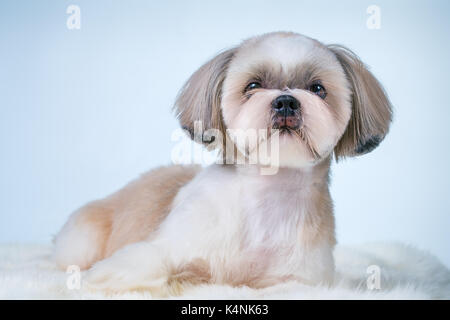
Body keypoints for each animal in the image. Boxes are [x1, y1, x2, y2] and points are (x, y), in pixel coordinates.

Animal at [51, 31, 390, 294]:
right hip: (82, 240)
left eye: (317, 89)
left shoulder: (297, 281)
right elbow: (150, 261)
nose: (286, 101)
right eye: (252, 86)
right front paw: (104, 279)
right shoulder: (171, 244)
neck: (267, 200)